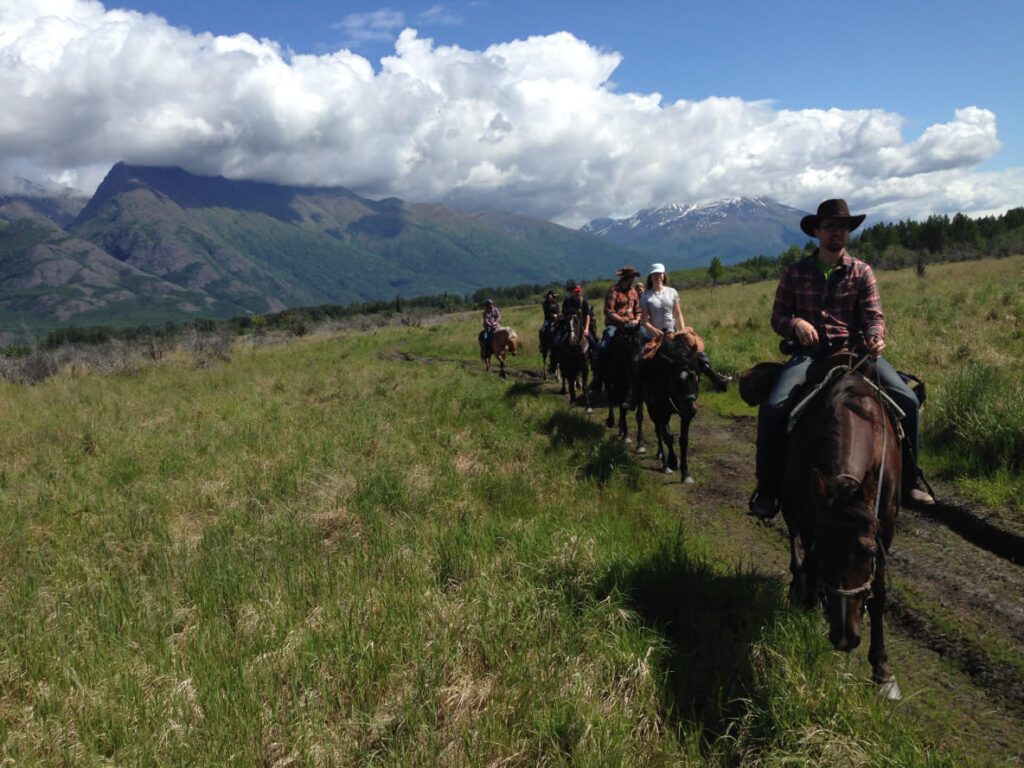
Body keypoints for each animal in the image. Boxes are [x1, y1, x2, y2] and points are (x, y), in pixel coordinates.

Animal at [778, 354, 901, 704]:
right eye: (825, 550)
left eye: (868, 552)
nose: (845, 637)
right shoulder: (810, 519)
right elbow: (811, 566)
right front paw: (808, 609)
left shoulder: (885, 527)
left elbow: (879, 592)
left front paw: (882, 669)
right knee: (794, 543)